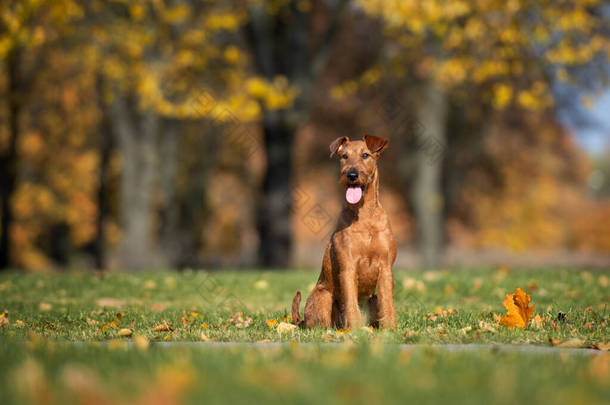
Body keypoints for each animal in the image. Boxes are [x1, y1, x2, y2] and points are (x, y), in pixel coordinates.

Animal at [290, 135, 396, 328]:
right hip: (324, 297)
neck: (365, 216)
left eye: (365, 155)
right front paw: (356, 329)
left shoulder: (385, 267)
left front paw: (390, 328)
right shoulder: (348, 266)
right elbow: (351, 303)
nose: (351, 175)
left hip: (373, 299)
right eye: (344, 156)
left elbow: (388, 302)